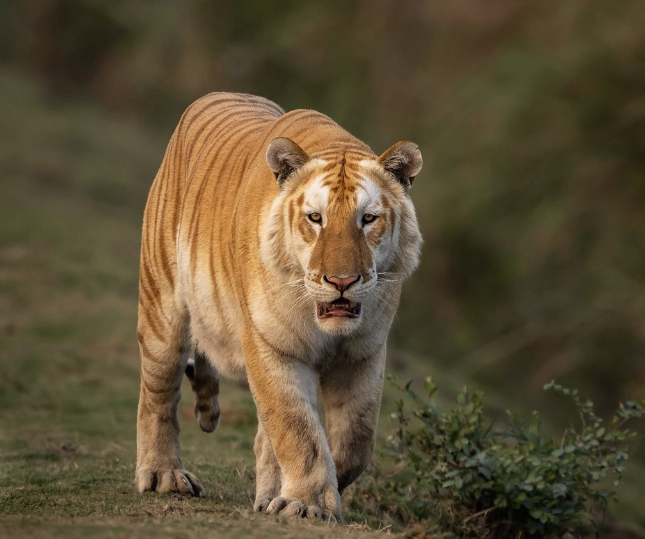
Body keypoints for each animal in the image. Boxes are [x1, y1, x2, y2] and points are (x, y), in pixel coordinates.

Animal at [135, 92, 423, 522]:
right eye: (316, 218)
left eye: (368, 219)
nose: (341, 281)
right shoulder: (271, 346)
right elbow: (298, 431)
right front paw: (307, 504)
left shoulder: (364, 353)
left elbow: (355, 439)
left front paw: (300, 496)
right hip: (162, 311)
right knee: (158, 394)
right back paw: (163, 475)